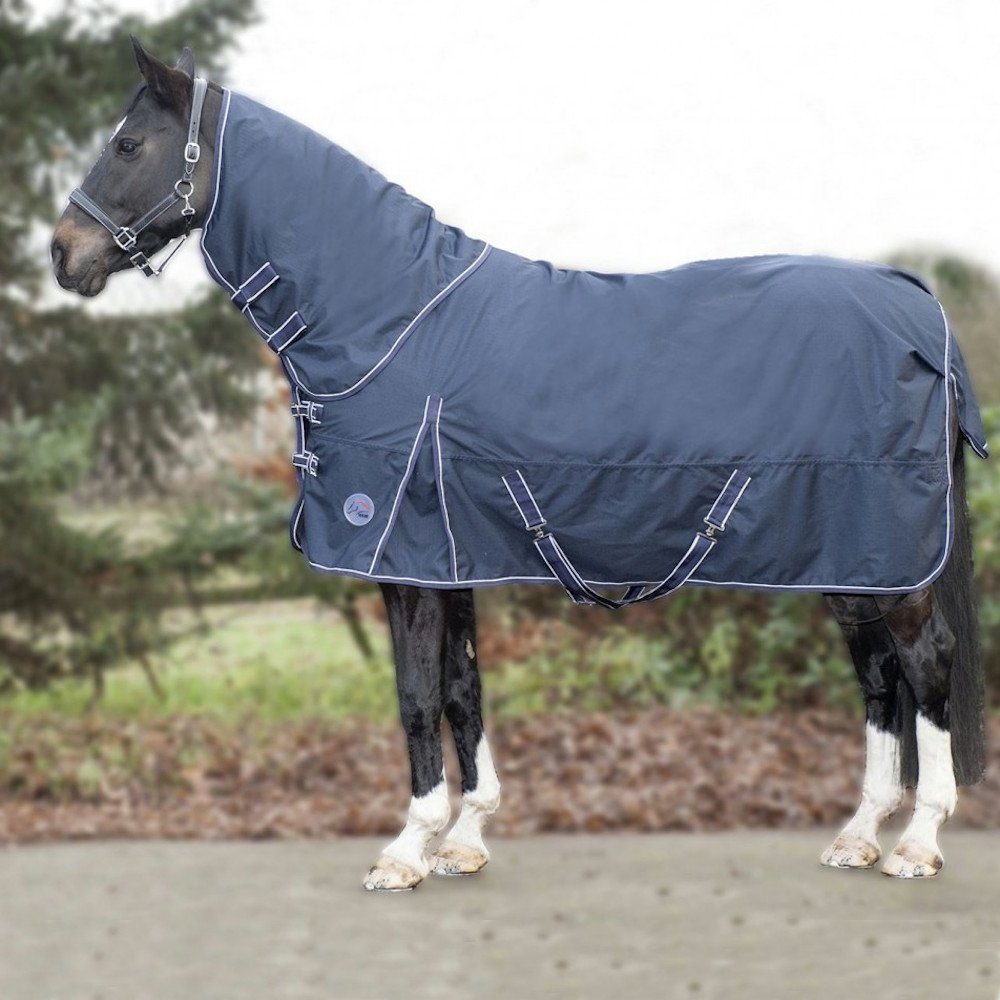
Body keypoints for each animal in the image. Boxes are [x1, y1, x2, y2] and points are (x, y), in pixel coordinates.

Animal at [51, 39, 988, 890]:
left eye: (128, 145)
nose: (63, 254)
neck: (392, 323)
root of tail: (921, 309)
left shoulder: (405, 565)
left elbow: (416, 696)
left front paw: (406, 849)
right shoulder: (447, 555)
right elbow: (464, 691)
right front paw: (465, 839)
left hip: (891, 561)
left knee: (927, 662)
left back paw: (917, 841)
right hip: (853, 560)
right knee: (879, 676)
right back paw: (859, 834)